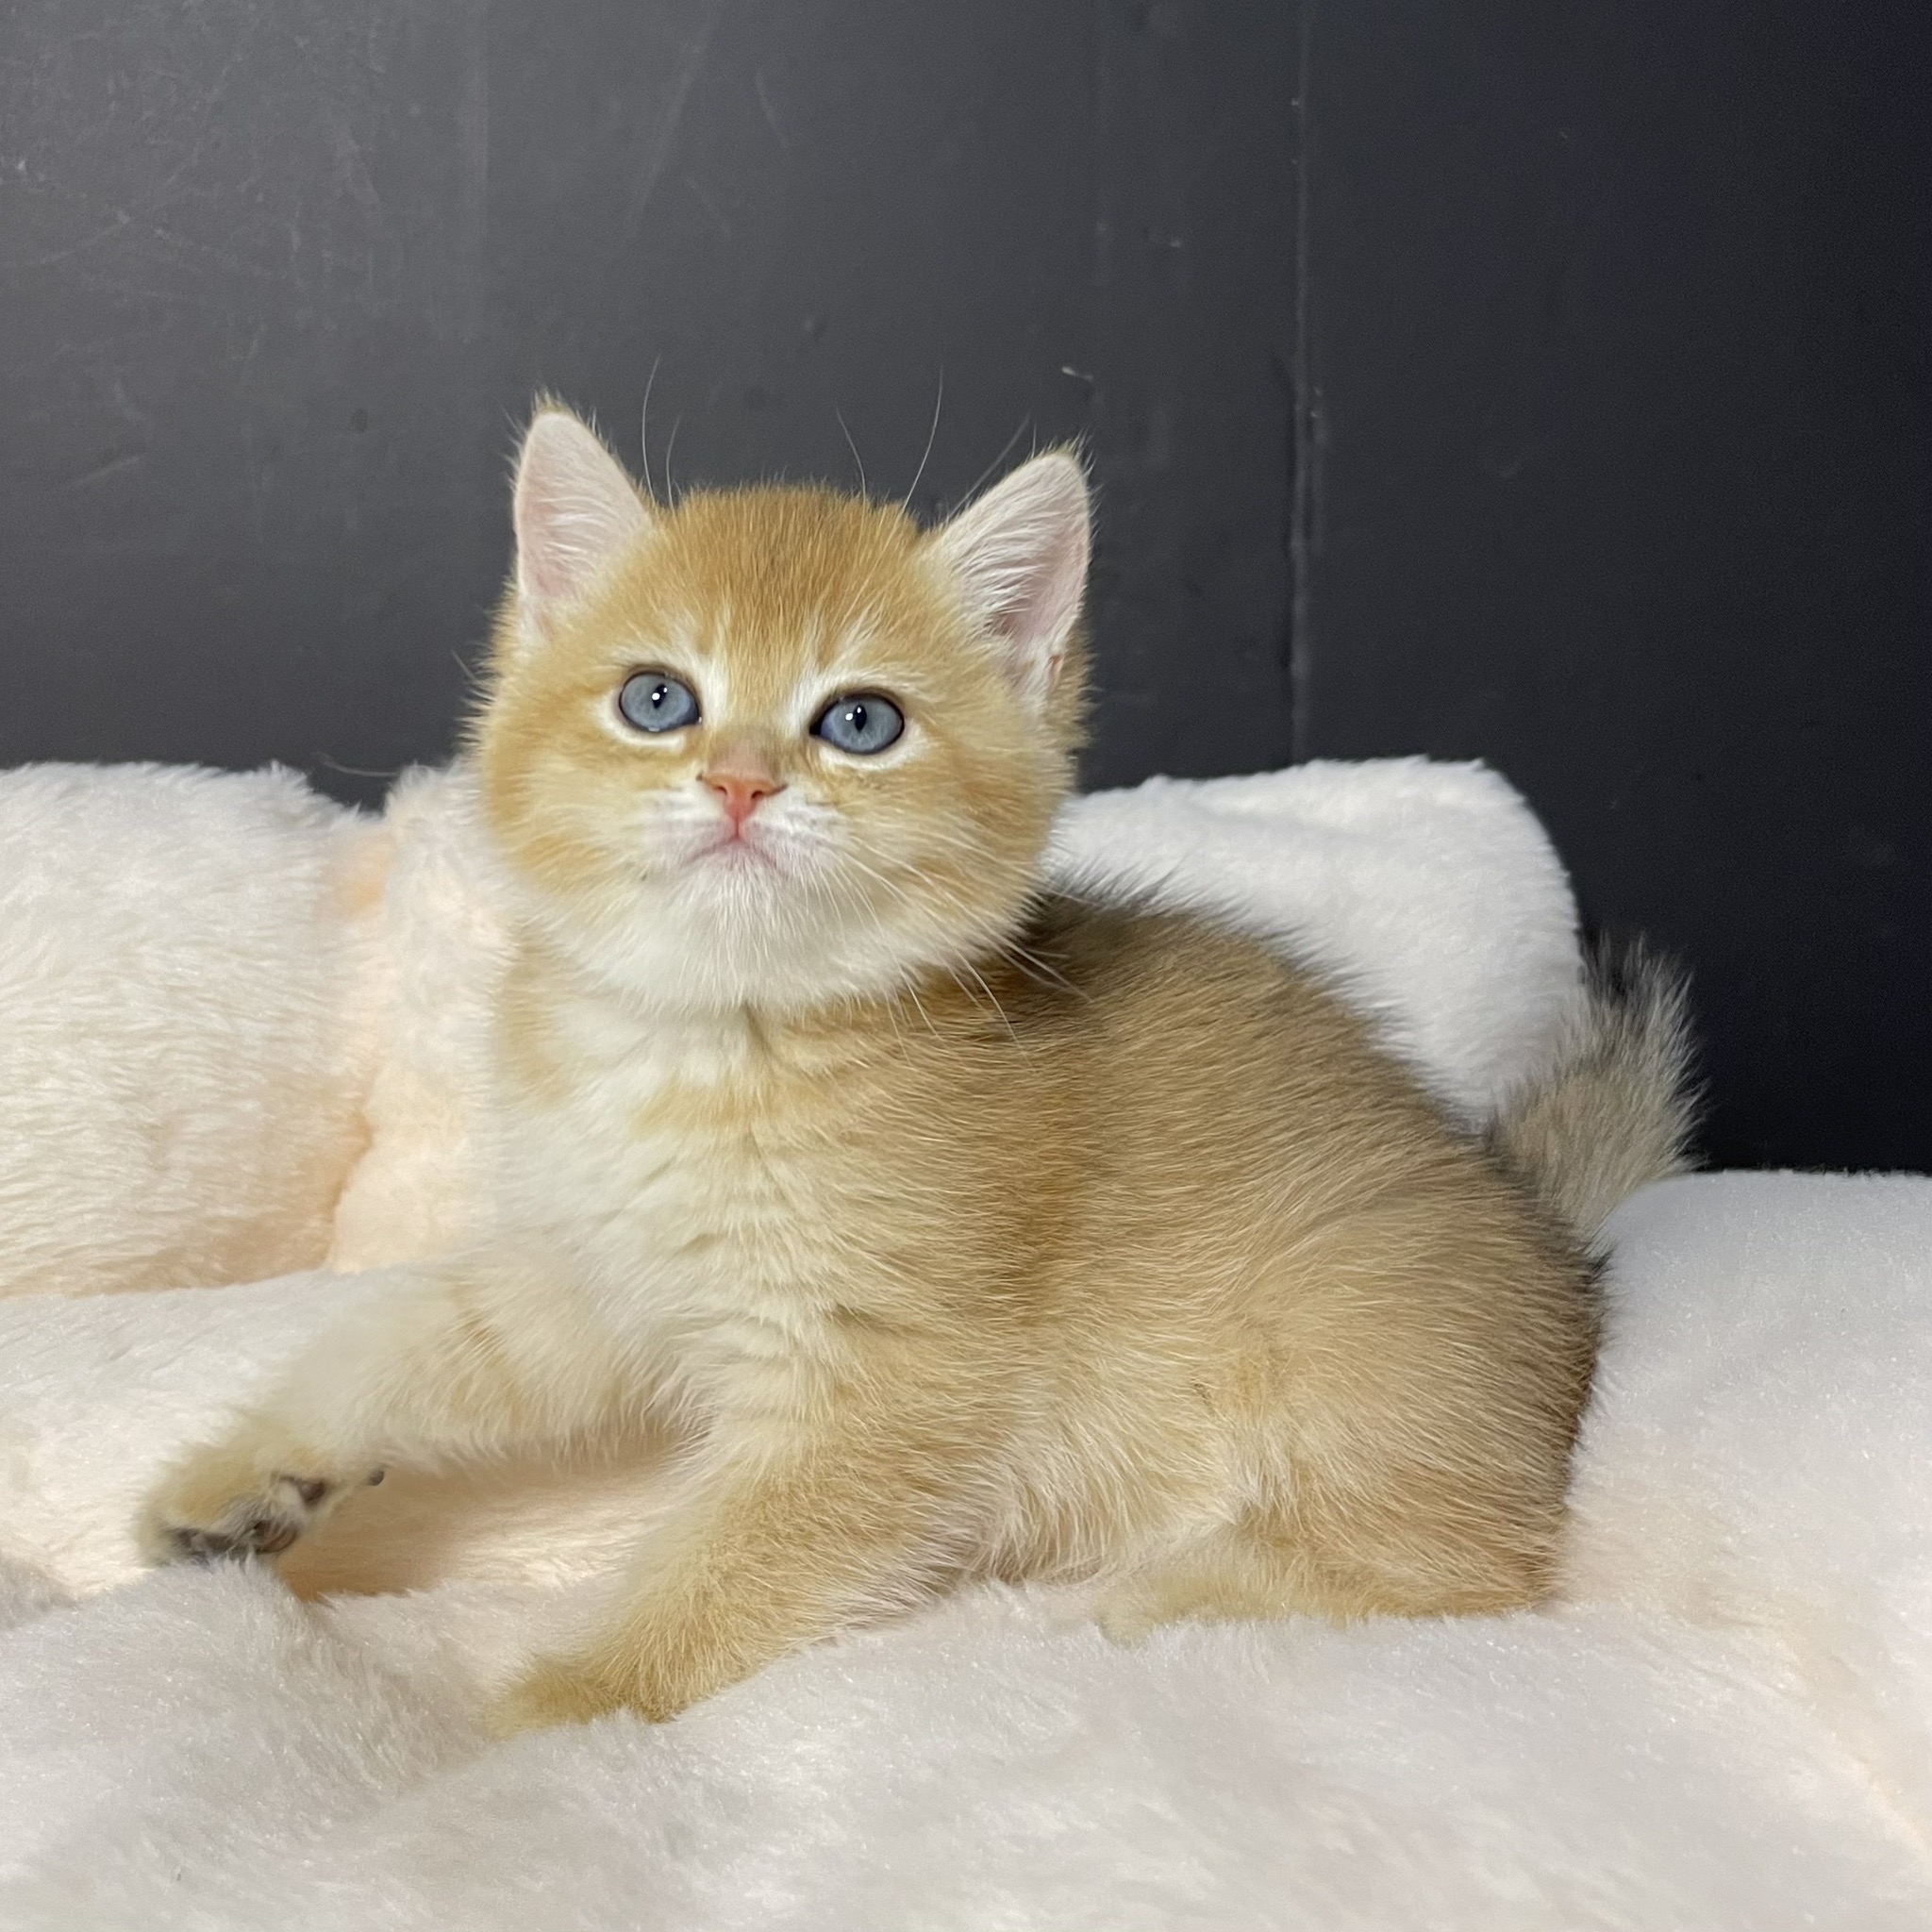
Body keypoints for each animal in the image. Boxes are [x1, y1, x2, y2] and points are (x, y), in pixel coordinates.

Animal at [140, 405, 1694, 1732]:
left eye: (859, 721)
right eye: (657, 698)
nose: (741, 782)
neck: (716, 1040)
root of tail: (1551, 1243)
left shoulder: (884, 1388)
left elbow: (725, 1571)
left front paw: (525, 1723)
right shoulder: (595, 1270)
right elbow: (414, 1336)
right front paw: (254, 1467)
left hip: (1347, 1331)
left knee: (1468, 1569)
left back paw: (1165, 1596)